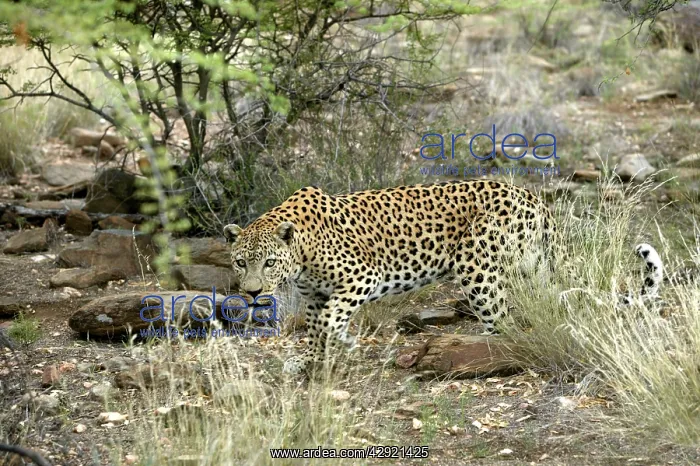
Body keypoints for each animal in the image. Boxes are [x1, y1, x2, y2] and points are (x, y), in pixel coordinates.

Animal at [223, 180, 663, 374]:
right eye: (241, 263)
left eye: (269, 263)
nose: (253, 293)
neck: (300, 252)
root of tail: (533, 197)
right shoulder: (315, 296)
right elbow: (316, 327)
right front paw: (312, 360)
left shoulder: (362, 276)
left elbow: (329, 321)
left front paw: (342, 342)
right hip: (531, 266)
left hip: (476, 265)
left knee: (503, 321)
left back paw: (480, 354)